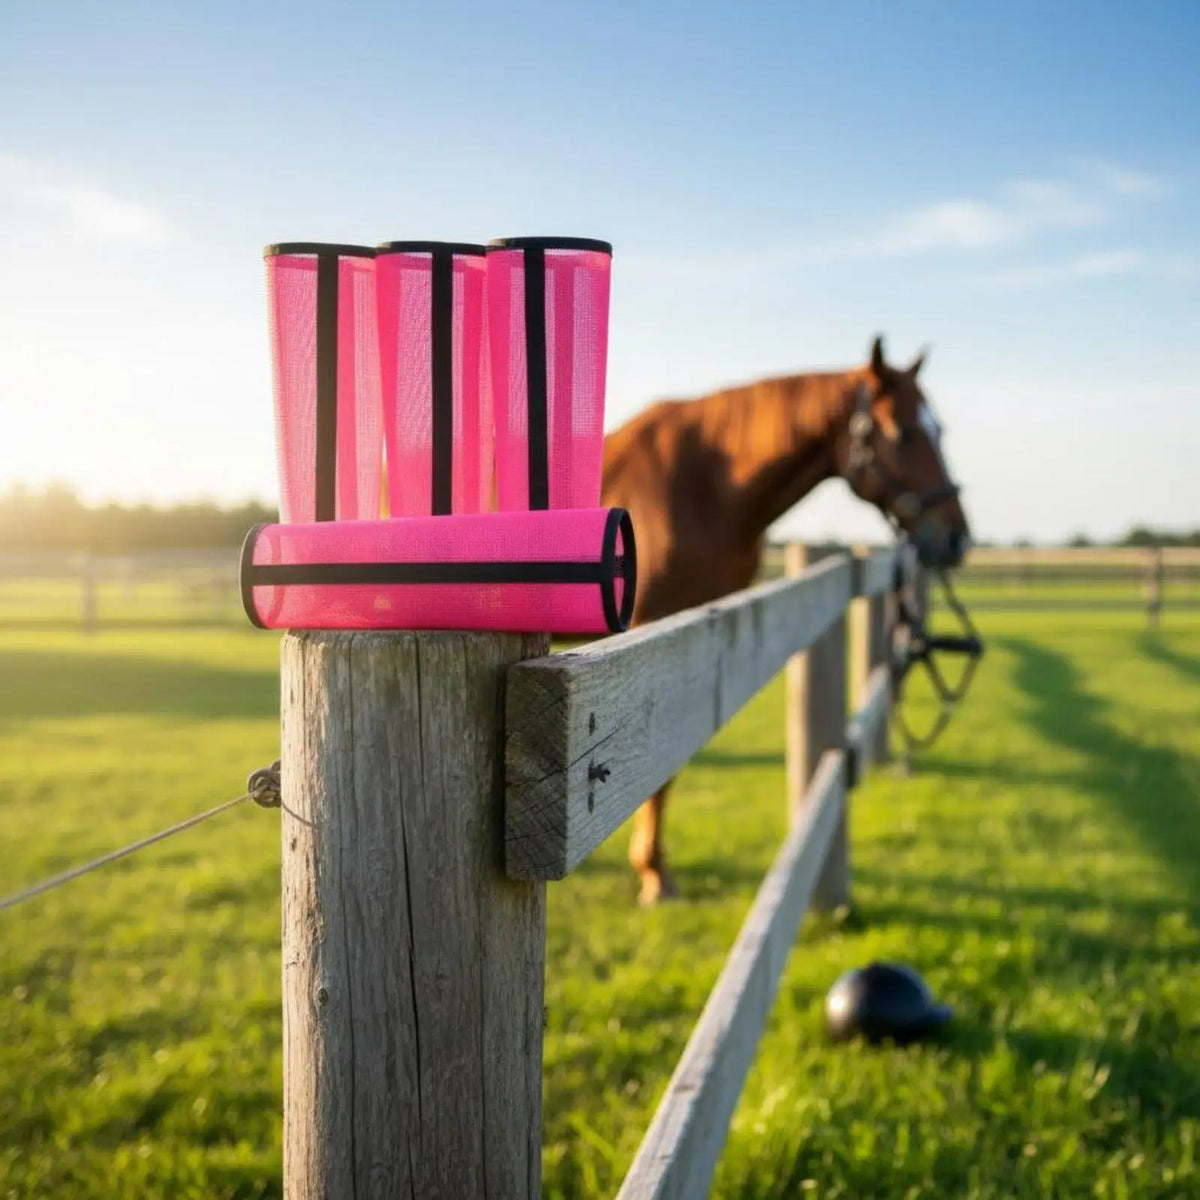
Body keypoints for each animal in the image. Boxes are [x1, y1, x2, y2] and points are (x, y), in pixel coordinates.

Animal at [599, 334, 970, 904]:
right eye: (903, 432)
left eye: (941, 430)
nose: (956, 536)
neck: (701, 486)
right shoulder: (653, 633)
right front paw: (655, 876)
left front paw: (654, 868)